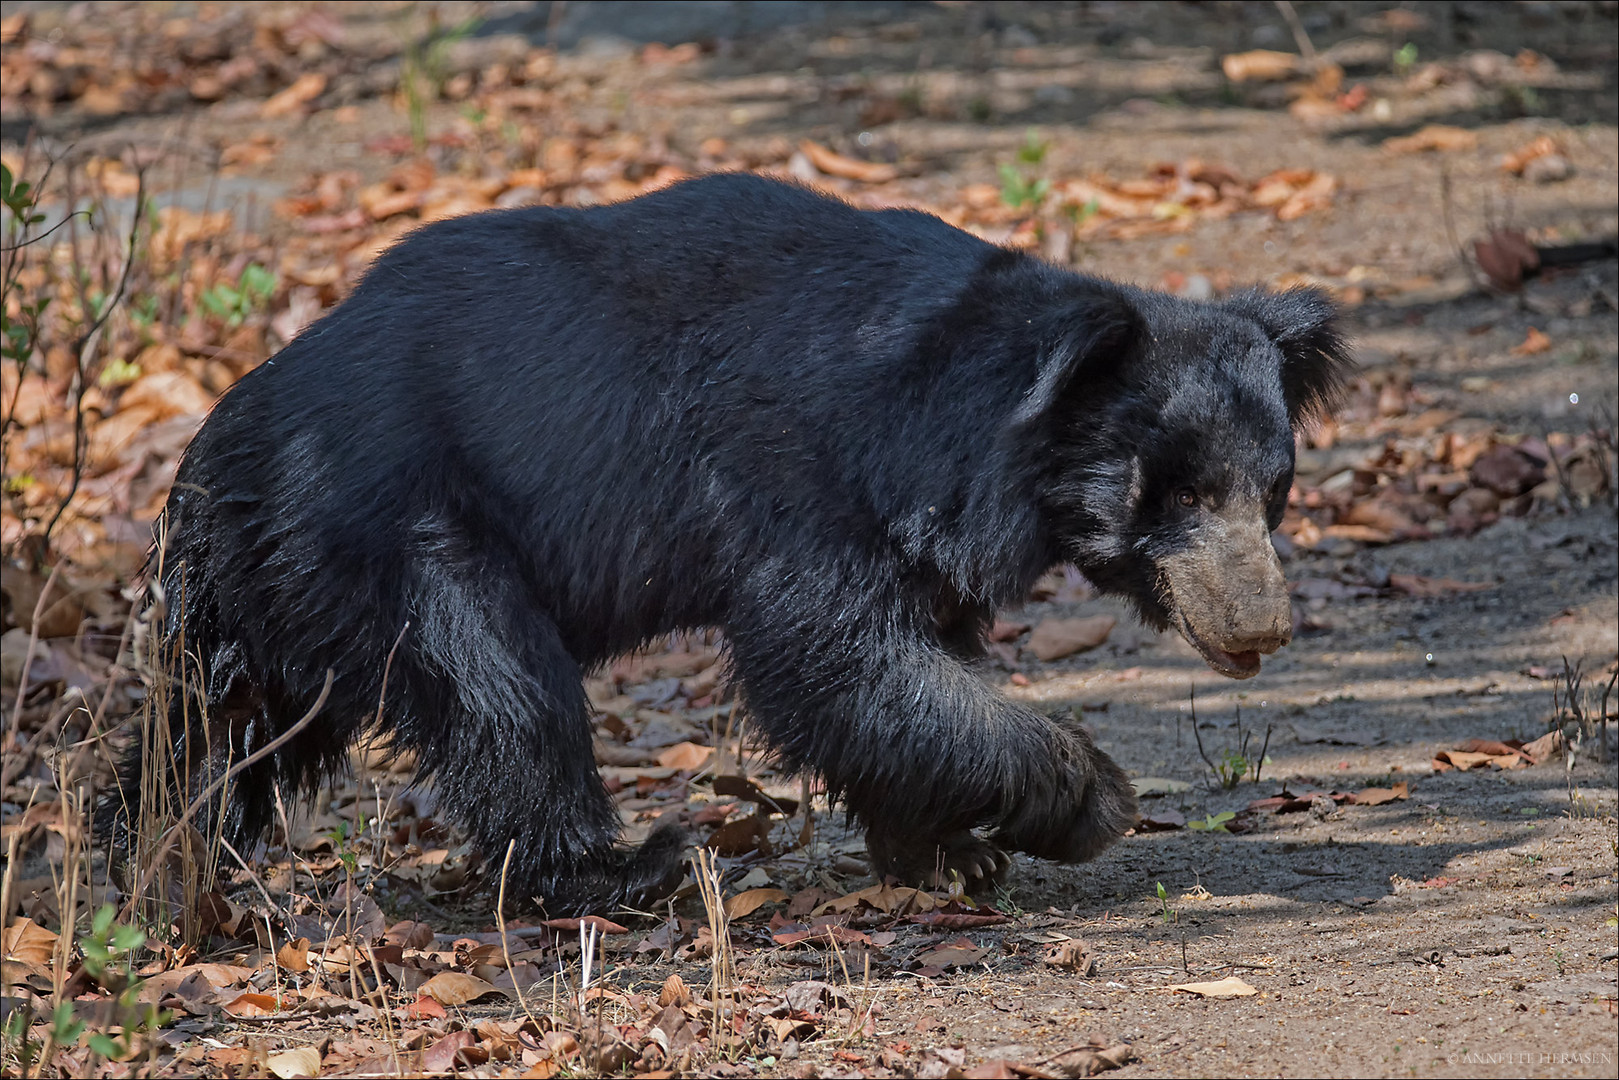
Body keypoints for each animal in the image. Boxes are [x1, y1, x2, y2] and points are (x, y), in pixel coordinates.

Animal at [104, 173, 1353, 919]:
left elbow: (899, 677)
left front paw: (944, 852)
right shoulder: (810, 482)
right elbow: (834, 660)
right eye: (1172, 493)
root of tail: (215, 453)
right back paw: (627, 867)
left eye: (1272, 493)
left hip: (274, 596)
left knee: (211, 731)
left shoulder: (917, 538)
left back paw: (153, 867)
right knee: (505, 697)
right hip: (402, 534)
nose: (1257, 631)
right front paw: (1089, 801)